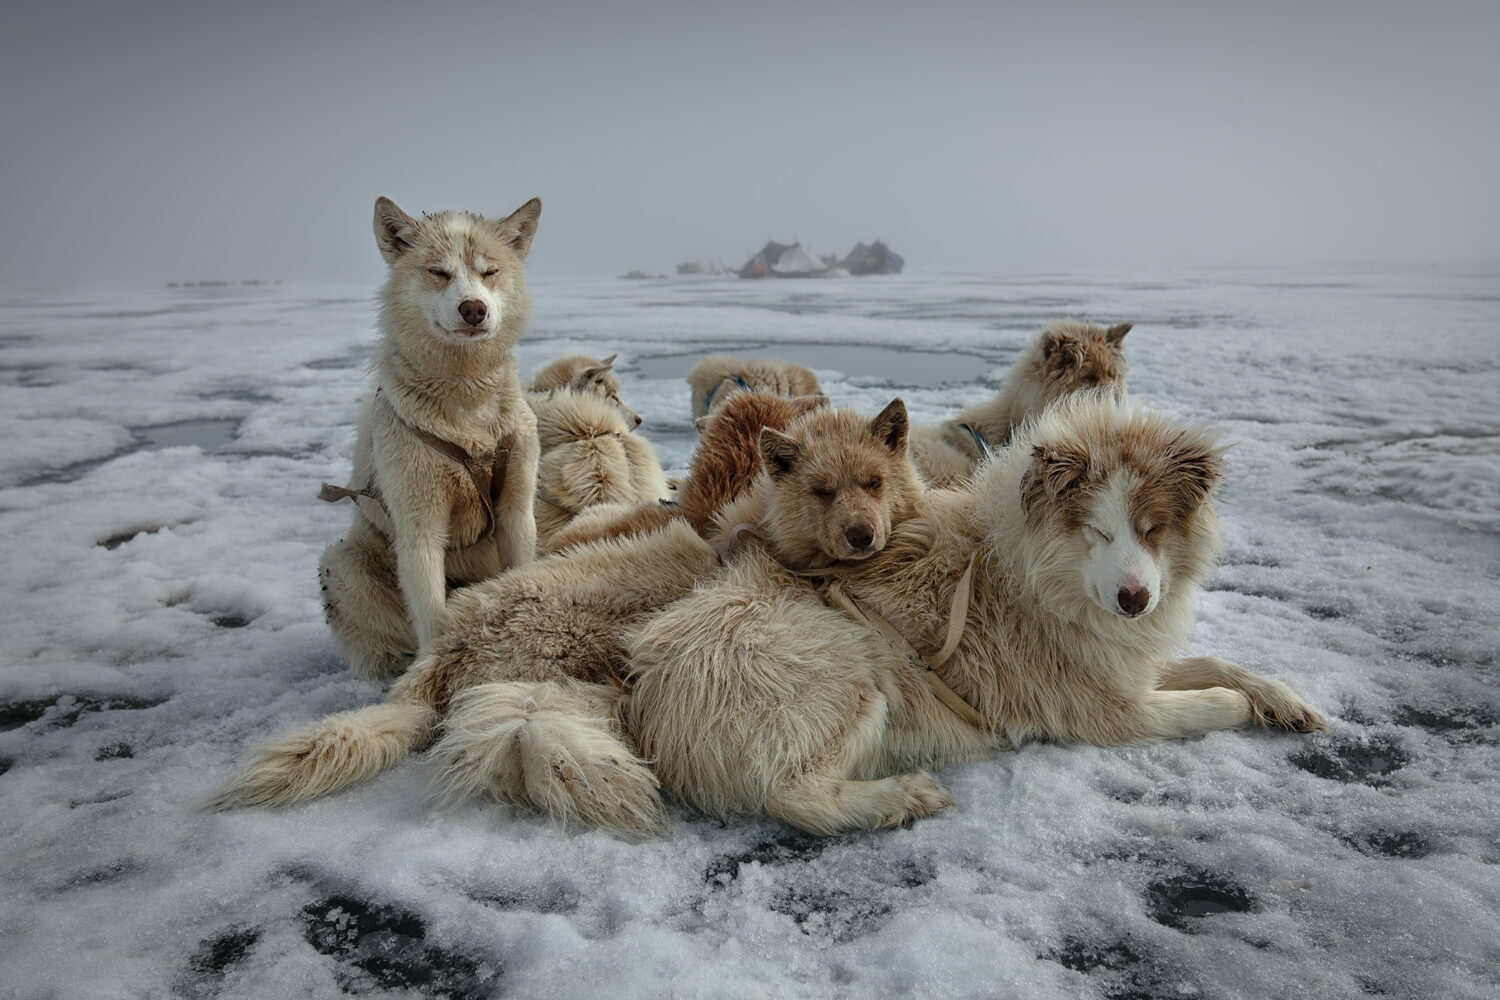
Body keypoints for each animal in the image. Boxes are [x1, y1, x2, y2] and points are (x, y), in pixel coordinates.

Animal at [316, 194, 546, 680]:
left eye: (489, 271)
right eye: (438, 272)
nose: (473, 308)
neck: (467, 404)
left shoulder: (517, 508)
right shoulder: (420, 525)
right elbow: (430, 613)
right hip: (342, 564)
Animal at [621, 389, 1326, 839]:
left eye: (1152, 530)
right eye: (1096, 532)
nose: (1135, 600)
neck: (1030, 575)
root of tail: (651, 702)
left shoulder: (1118, 662)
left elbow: (1218, 662)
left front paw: (1283, 698)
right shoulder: (1103, 712)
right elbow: (1201, 704)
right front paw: (1238, 706)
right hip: (857, 674)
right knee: (792, 795)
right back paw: (899, 798)